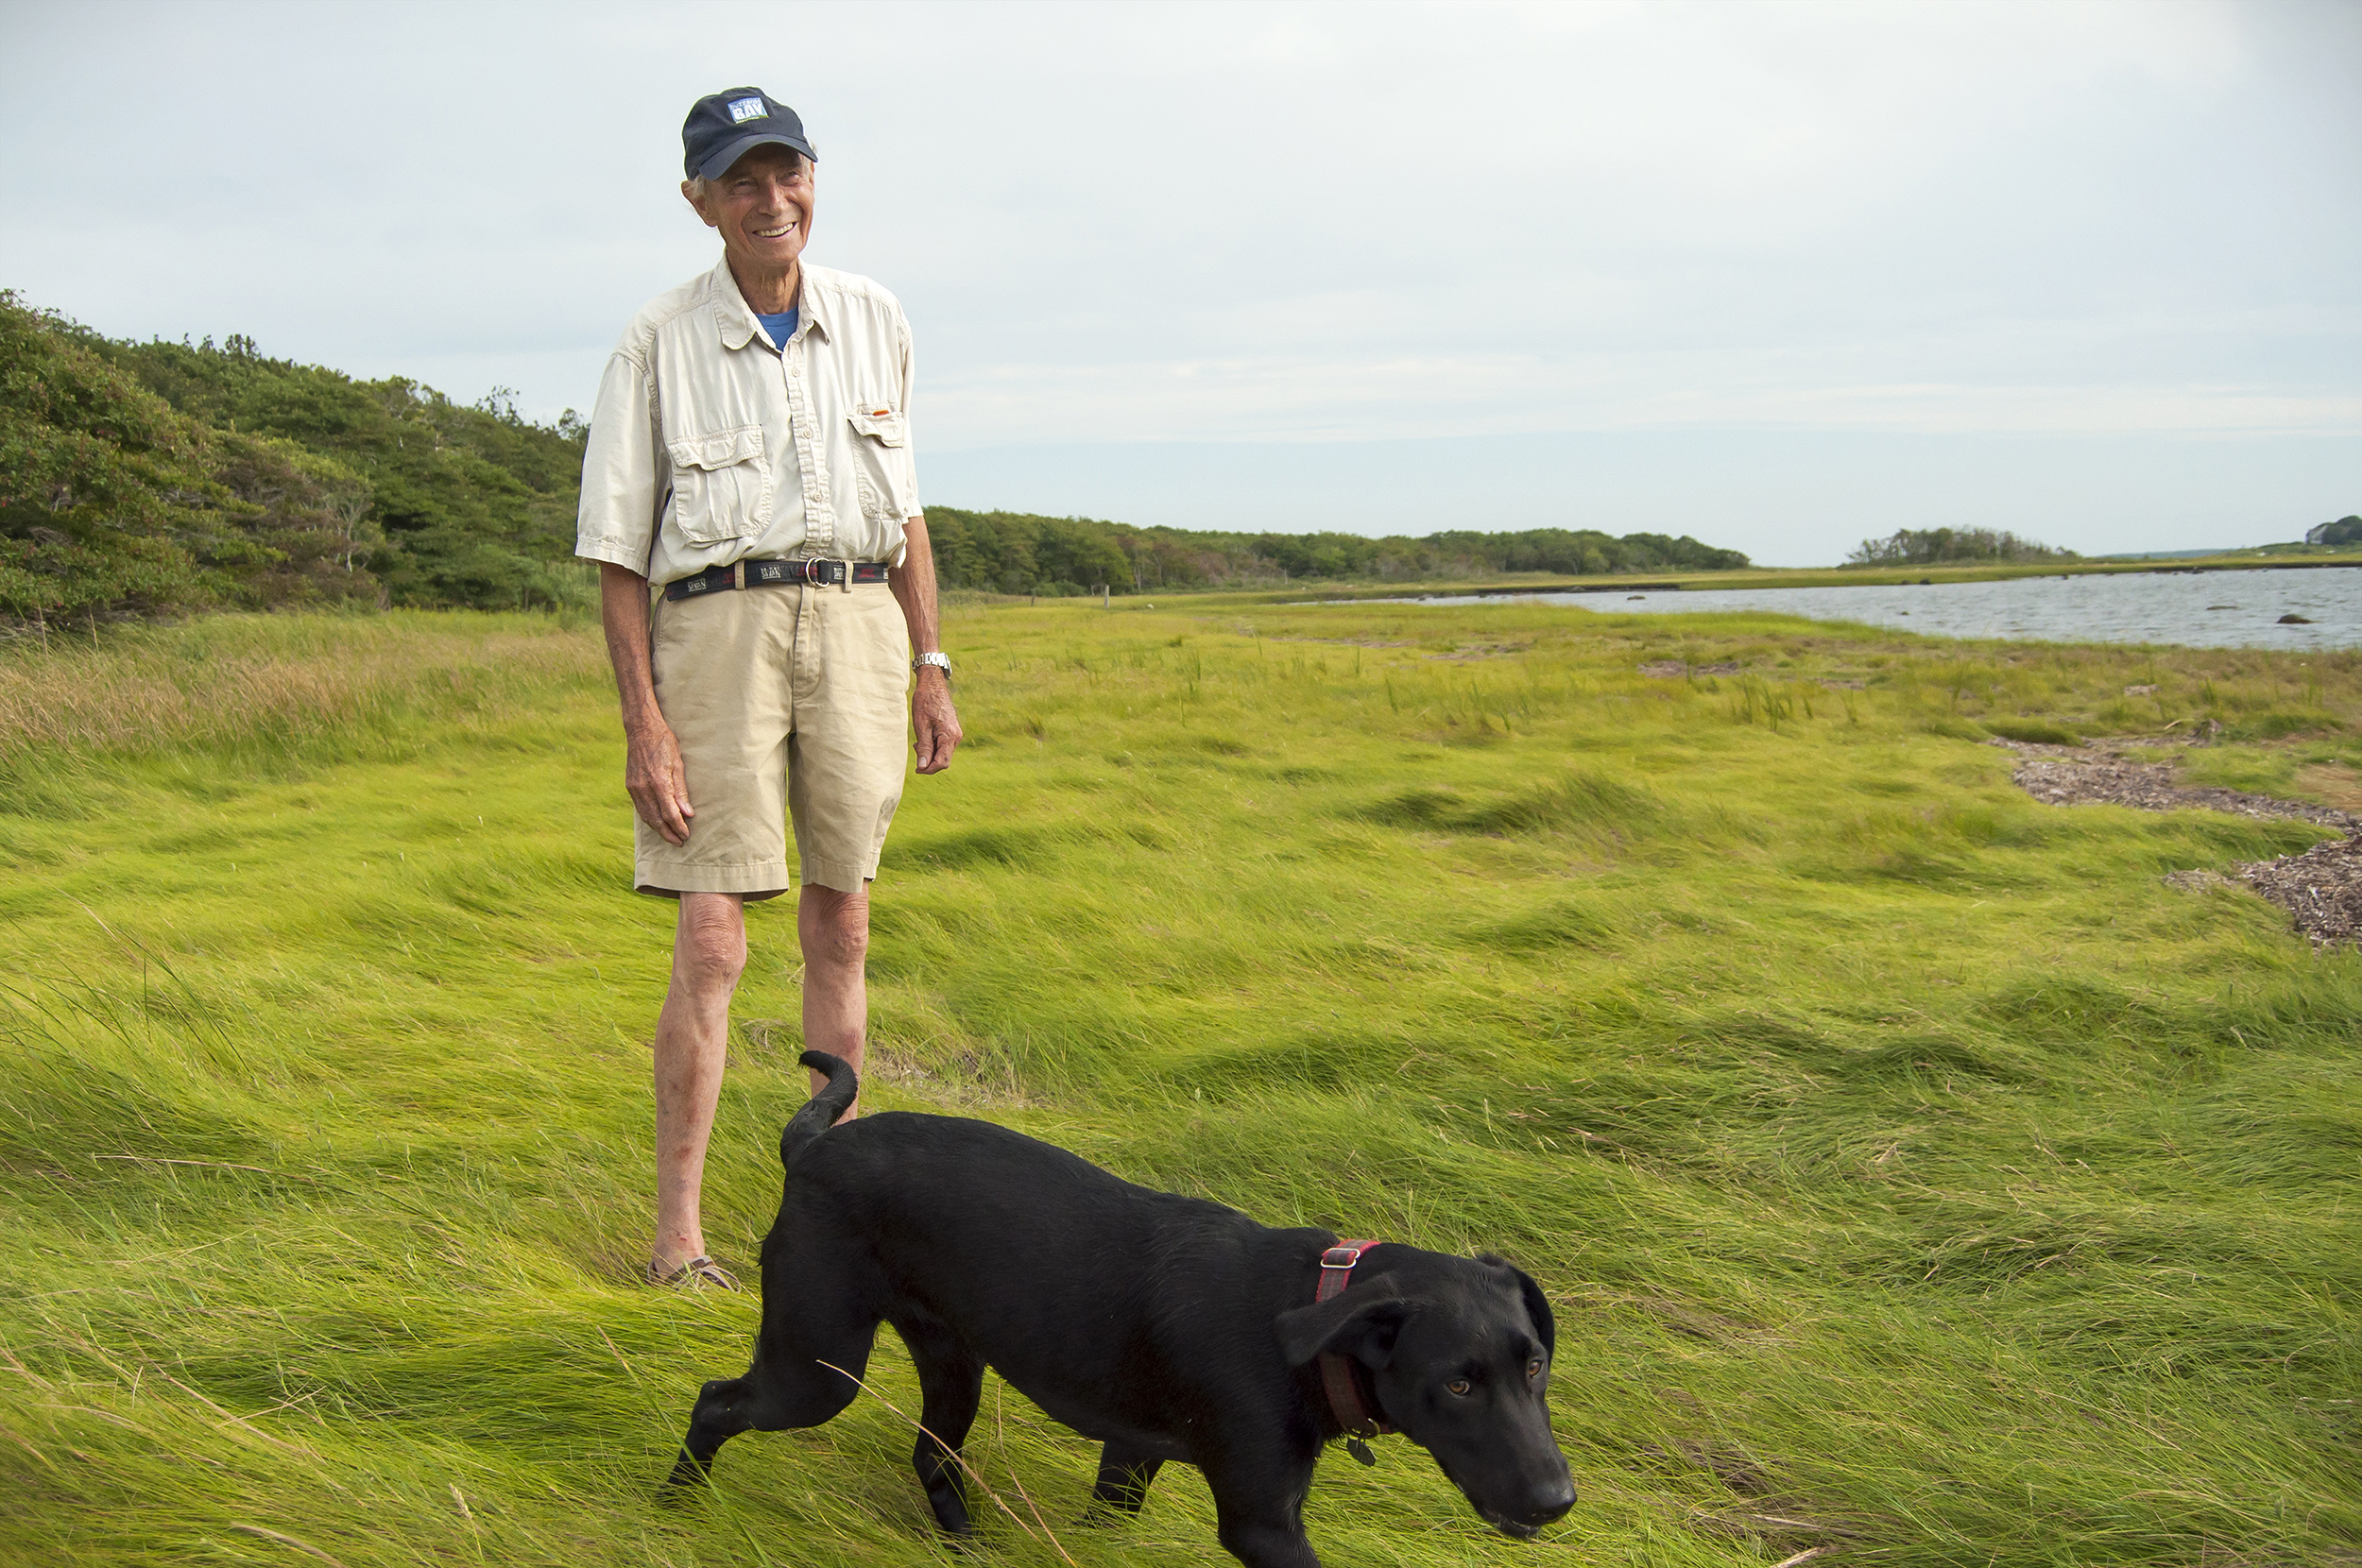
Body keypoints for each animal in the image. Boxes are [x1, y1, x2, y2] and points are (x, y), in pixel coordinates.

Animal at [666, 1053, 1578, 1568]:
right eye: (1456, 1385)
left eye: (1535, 1366)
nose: (1558, 1501)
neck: (1309, 1310)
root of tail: (811, 1147)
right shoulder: (1262, 1524)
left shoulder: (1131, 1456)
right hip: (817, 1368)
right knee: (716, 1402)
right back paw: (677, 1505)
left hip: (953, 1361)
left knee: (932, 1458)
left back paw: (967, 1548)